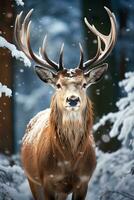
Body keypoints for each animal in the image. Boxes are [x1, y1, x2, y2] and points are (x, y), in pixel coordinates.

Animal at [14, 7, 117, 200]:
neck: (69, 160)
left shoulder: (84, 180)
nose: (73, 99)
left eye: (84, 84)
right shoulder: (47, 179)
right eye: (58, 85)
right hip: (31, 178)